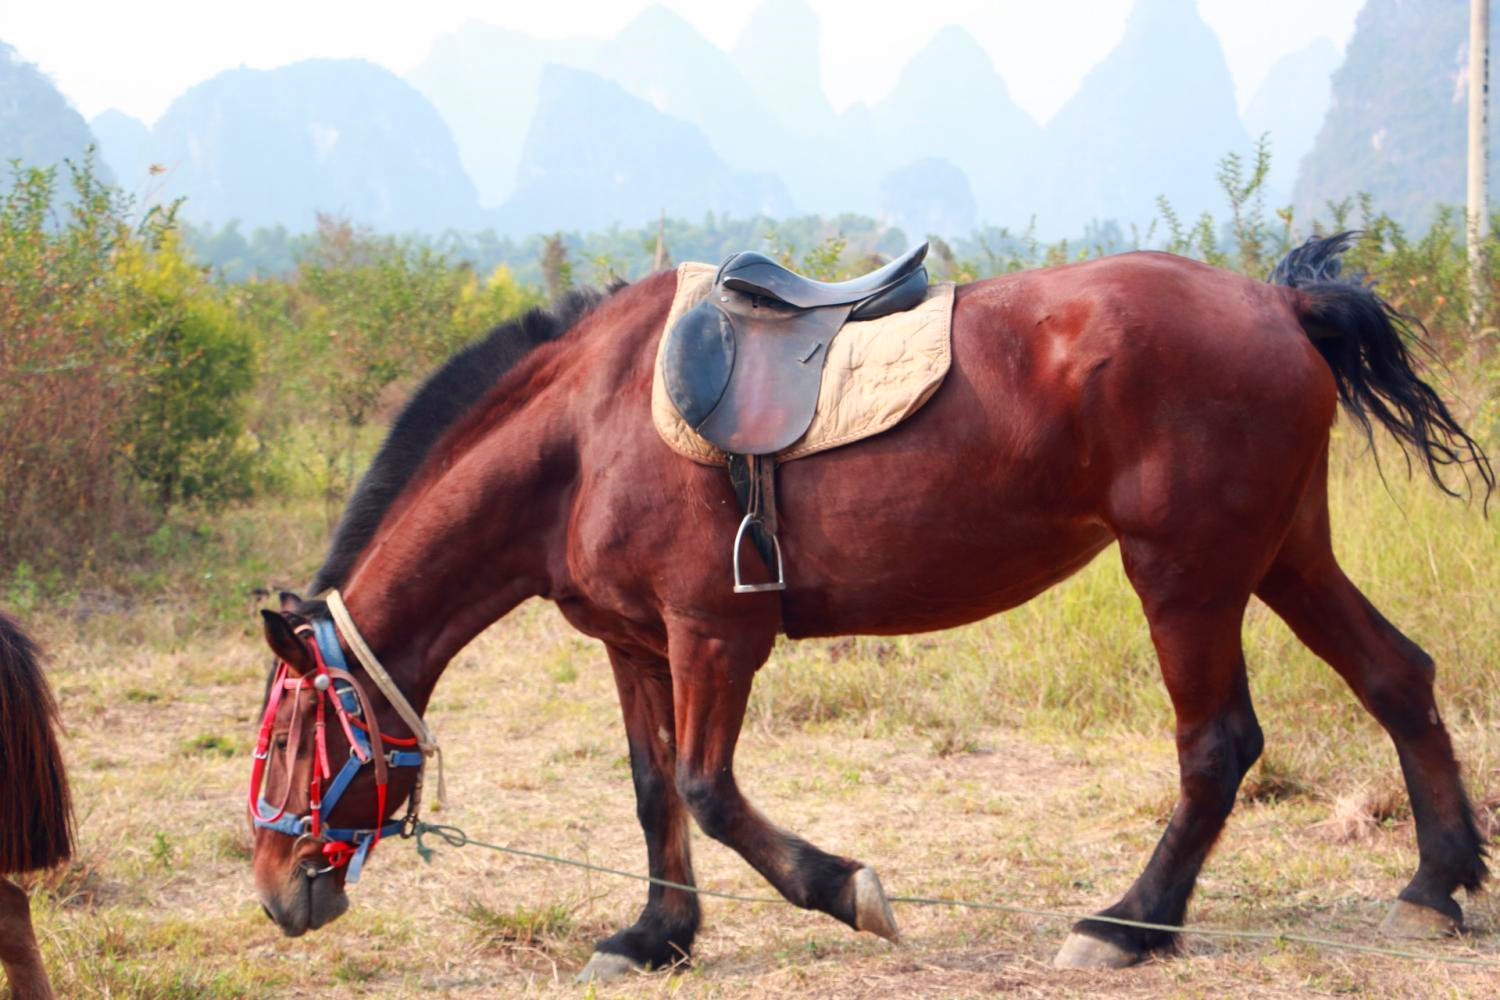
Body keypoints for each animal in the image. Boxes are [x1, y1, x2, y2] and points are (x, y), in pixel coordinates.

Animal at [252, 236, 1494, 977]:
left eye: (300, 735)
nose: (275, 892)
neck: (584, 431)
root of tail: (1281, 301)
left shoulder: (715, 636)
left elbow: (708, 792)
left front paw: (846, 889)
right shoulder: (636, 646)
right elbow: (655, 793)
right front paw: (658, 934)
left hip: (1185, 573)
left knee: (1219, 744)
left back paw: (1129, 923)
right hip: (1283, 553)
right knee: (1399, 675)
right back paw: (1436, 882)